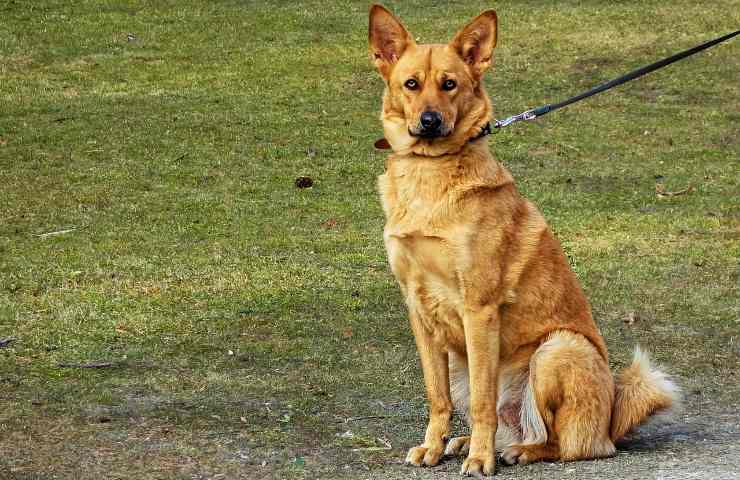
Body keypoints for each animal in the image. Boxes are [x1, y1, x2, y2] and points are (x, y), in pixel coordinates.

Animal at [368, 5, 680, 478]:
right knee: (511, 422)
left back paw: (513, 451)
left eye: (449, 84)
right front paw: (433, 447)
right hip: (463, 361)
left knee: (567, 443)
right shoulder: (419, 312)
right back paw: (469, 442)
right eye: (411, 84)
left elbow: (482, 403)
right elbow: (437, 397)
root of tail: (611, 418)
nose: (430, 121)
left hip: (556, 350)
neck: (431, 174)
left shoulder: (478, 310)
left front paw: (480, 460)